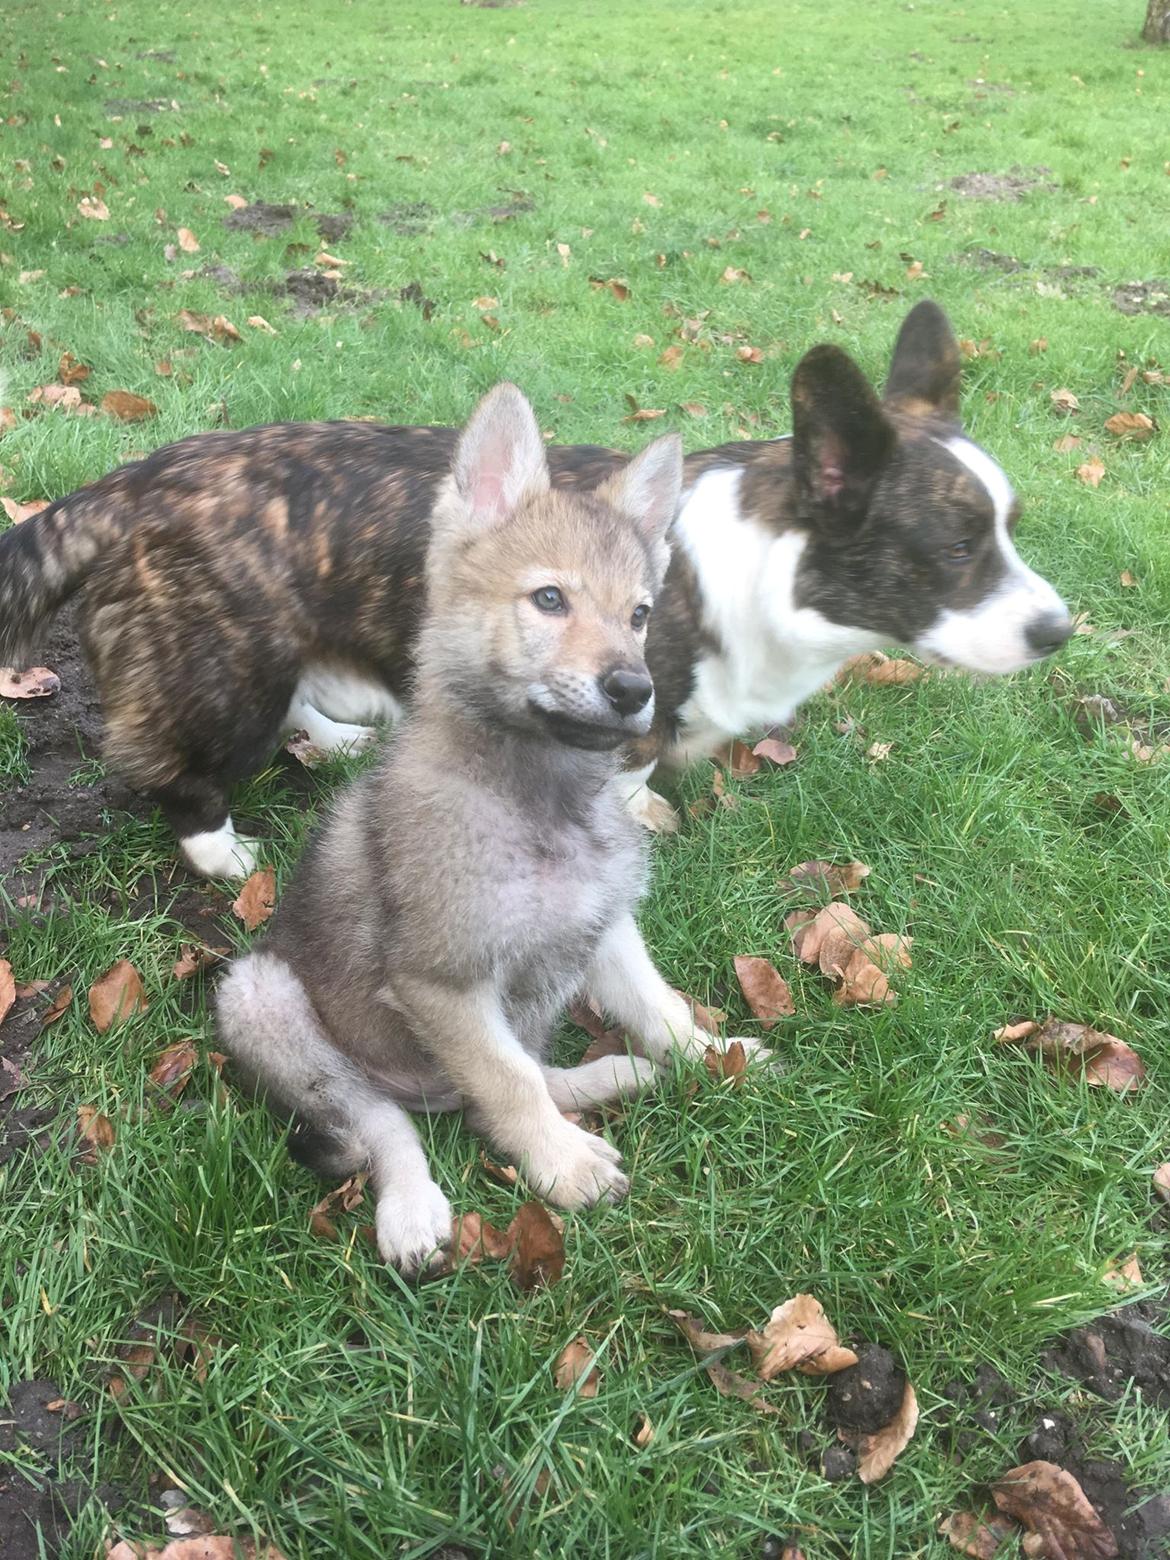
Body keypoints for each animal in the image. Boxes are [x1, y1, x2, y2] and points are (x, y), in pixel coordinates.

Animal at [216, 383, 770, 1272]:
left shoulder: (606, 928)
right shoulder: (443, 982)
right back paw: (415, 1209)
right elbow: (507, 1082)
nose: (635, 690)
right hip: (261, 1000)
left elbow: (657, 1007)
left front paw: (711, 1057)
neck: (541, 794)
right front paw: (561, 1165)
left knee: (517, 1082)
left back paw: (611, 1077)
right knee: (385, 1121)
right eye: (549, 599)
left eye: (641, 614)